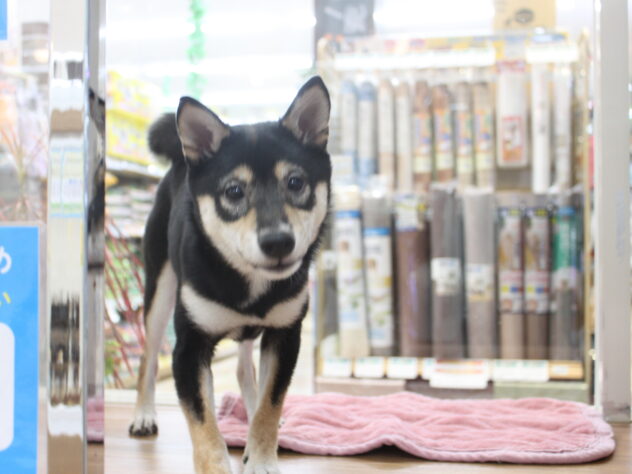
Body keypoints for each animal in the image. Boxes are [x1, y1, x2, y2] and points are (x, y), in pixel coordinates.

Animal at [129, 76, 334, 472]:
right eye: (234, 191)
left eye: (296, 183)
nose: (278, 241)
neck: (249, 283)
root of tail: (180, 164)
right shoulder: (189, 349)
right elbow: (204, 426)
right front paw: (217, 465)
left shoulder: (285, 336)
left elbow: (270, 403)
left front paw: (262, 457)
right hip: (159, 293)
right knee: (147, 358)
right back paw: (144, 414)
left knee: (244, 371)